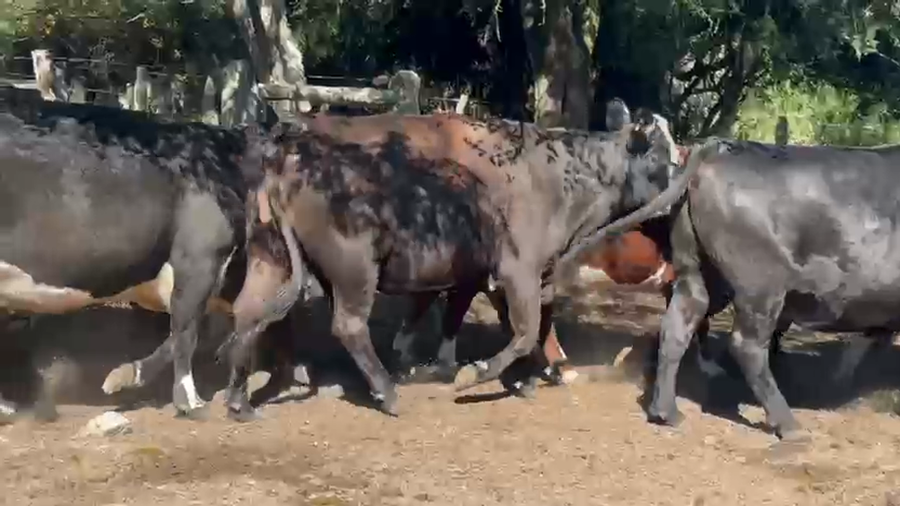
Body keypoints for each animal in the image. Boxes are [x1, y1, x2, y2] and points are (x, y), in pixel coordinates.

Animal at [216, 104, 697, 421]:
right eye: (663, 157)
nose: (685, 190)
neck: (560, 176)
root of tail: (287, 153)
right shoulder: (516, 271)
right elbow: (522, 330)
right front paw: (473, 373)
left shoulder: (532, 275)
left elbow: (533, 326)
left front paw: (531, 376)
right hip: (355, 268)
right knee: (348, 326)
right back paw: (386, 392)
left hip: (271, 256)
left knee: (250, 312)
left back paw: (241, 399)